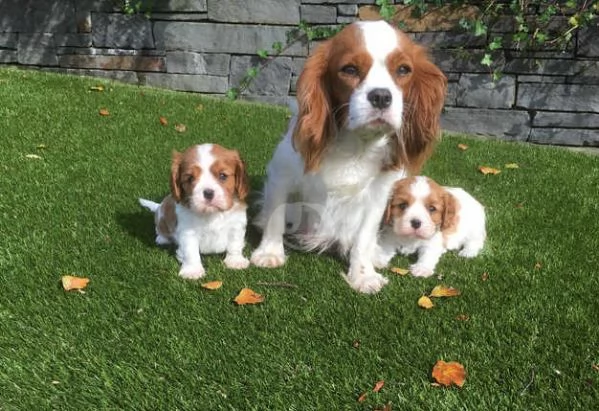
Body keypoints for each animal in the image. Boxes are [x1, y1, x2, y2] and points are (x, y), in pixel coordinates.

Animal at [139, 142, 250, 280]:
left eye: (223, 176)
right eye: (190, 178)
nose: (208, 193)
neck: (212, 214)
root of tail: (159, 206)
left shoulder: (236, 224)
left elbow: (235, 243)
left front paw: (235, 261)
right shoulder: (188, 232)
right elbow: (191, 252)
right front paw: (192, 270)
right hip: (161, 218)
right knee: (159, 228)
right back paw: (162, 238)